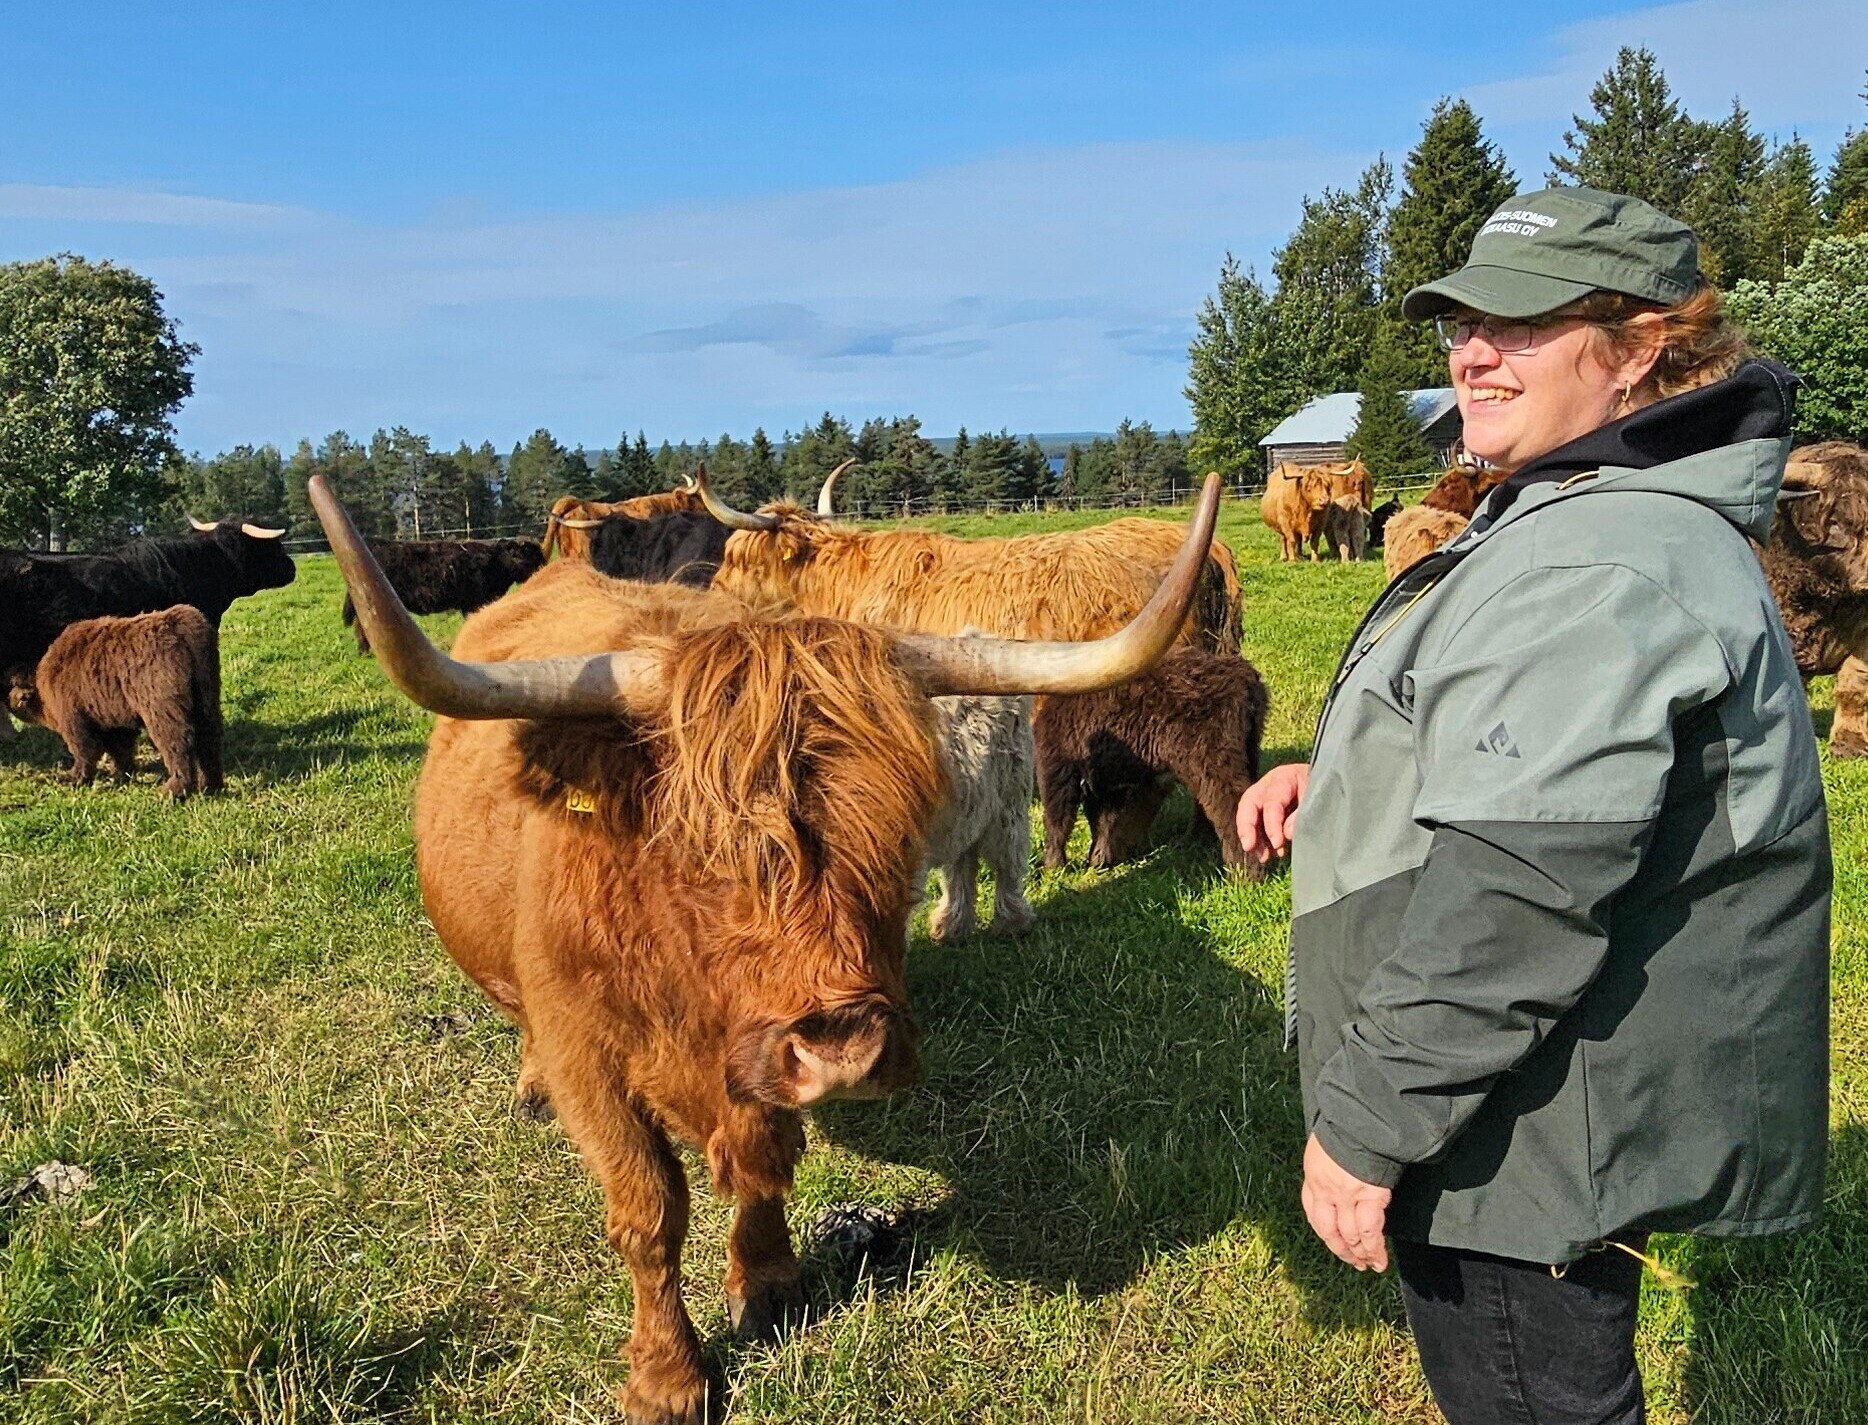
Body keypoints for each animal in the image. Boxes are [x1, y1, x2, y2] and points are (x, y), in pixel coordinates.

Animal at [7, 605, 223, 803]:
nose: (9, 701)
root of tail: (181, 626)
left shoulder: (75, 719)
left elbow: (84, 750)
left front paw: (75, 778)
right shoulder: (114, 719)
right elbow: (121, 749)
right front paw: (121, 774)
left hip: (162, 708)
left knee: (179, 744)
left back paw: (173, 791)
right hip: (206, 698)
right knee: (209, 737)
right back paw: (211, 786)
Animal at [1031, 642, 1277, 870]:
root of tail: (1244, 677)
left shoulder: (1057, 767)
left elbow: (1058, 819)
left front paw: (1054, 865)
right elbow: (1106, 820)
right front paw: (1100, 857)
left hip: (1212, 761)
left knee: (1232, 805)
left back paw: (1243, 871)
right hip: (1247, 750)